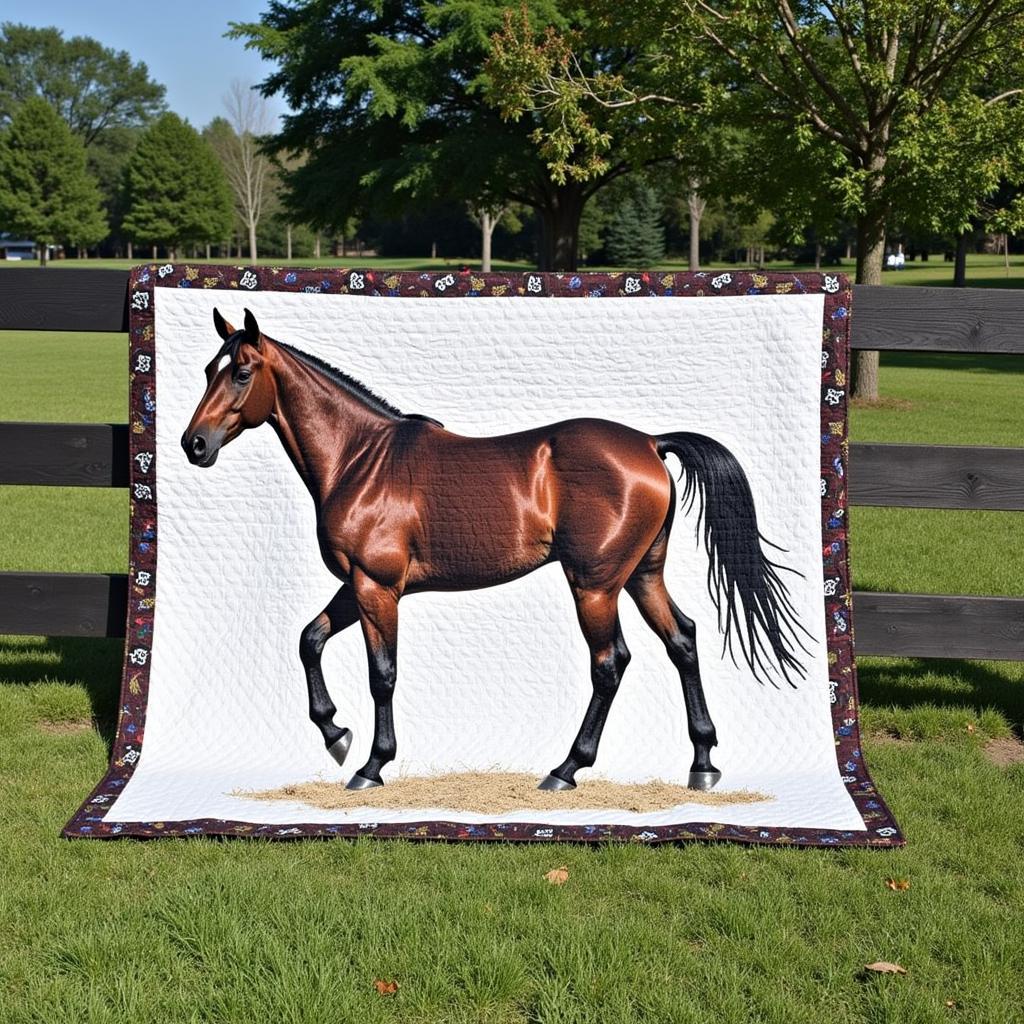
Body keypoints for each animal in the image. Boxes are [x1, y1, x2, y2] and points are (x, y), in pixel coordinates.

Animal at [182, 305, 806, 790]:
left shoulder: (376, 587)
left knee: (610, 663)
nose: (195, 444)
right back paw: (702, 763)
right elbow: (309, 640)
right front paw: (336, 733)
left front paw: (371, 764)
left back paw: (566, 769)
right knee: (683, 641)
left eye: (241, 373)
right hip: (640, 576)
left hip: (595, 585)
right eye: (210, 370)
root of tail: (651, 444)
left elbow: (382, 672)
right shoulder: (357, 584)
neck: (361, 459)